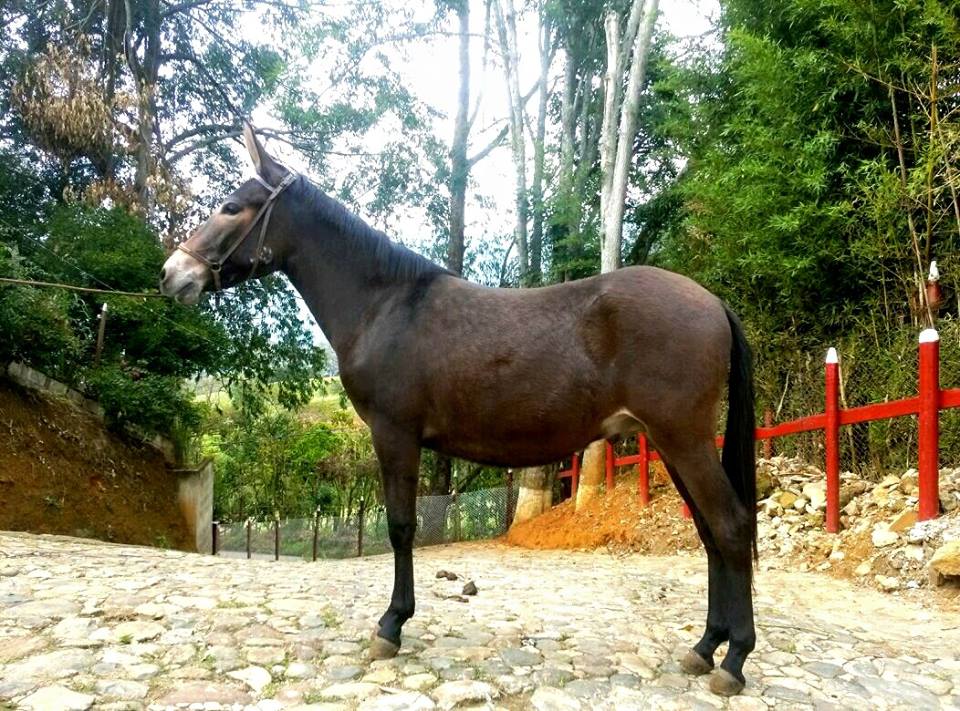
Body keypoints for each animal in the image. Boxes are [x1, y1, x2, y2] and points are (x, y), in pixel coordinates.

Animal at [160, 124, 758, 696]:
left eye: (232, 206)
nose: (171, 274)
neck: (387, 304)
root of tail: (712, 302)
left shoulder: (394, 434)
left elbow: (402, 527)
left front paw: (391, 626)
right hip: (670, 445)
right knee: (710, 533)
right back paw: (704, 647)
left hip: (684, 439)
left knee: (730, 527)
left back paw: (733, 660)